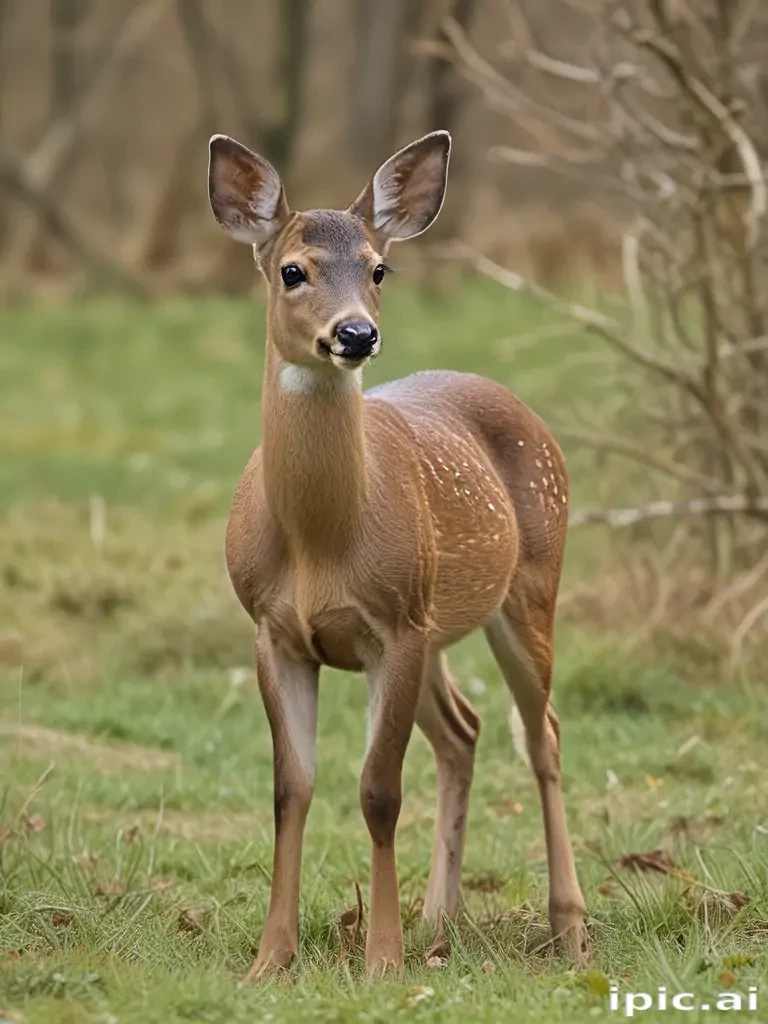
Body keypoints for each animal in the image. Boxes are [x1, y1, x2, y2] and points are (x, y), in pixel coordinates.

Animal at [207, 129, 587, 981]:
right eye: (293, 270)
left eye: (380, 268)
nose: (357, 334)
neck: (319, 542)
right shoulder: (273, 630)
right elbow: (290, 788)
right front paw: (270, 959)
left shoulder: (393, 627)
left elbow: (378, 791)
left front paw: (381, 960)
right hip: (439, 619)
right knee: (465, 731)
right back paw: (438, 918)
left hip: (526, 586)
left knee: (541, 734)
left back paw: (568, 927)